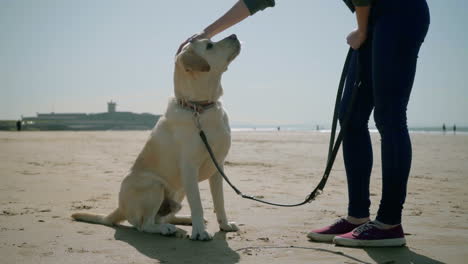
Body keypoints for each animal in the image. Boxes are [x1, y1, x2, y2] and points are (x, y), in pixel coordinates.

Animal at [74, 34, 241, 240]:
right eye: (209, 45)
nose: (234, 35)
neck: (198, 107)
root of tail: (120, 207)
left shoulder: (218, 167)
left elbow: (220, 202)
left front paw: (224, 225)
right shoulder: (189, 167)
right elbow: (198, 204)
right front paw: (200, 232)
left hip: (178, 192)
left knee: (163, 216)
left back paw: (184, 220)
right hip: (154, 186)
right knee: (144, 224)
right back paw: (166, 229)